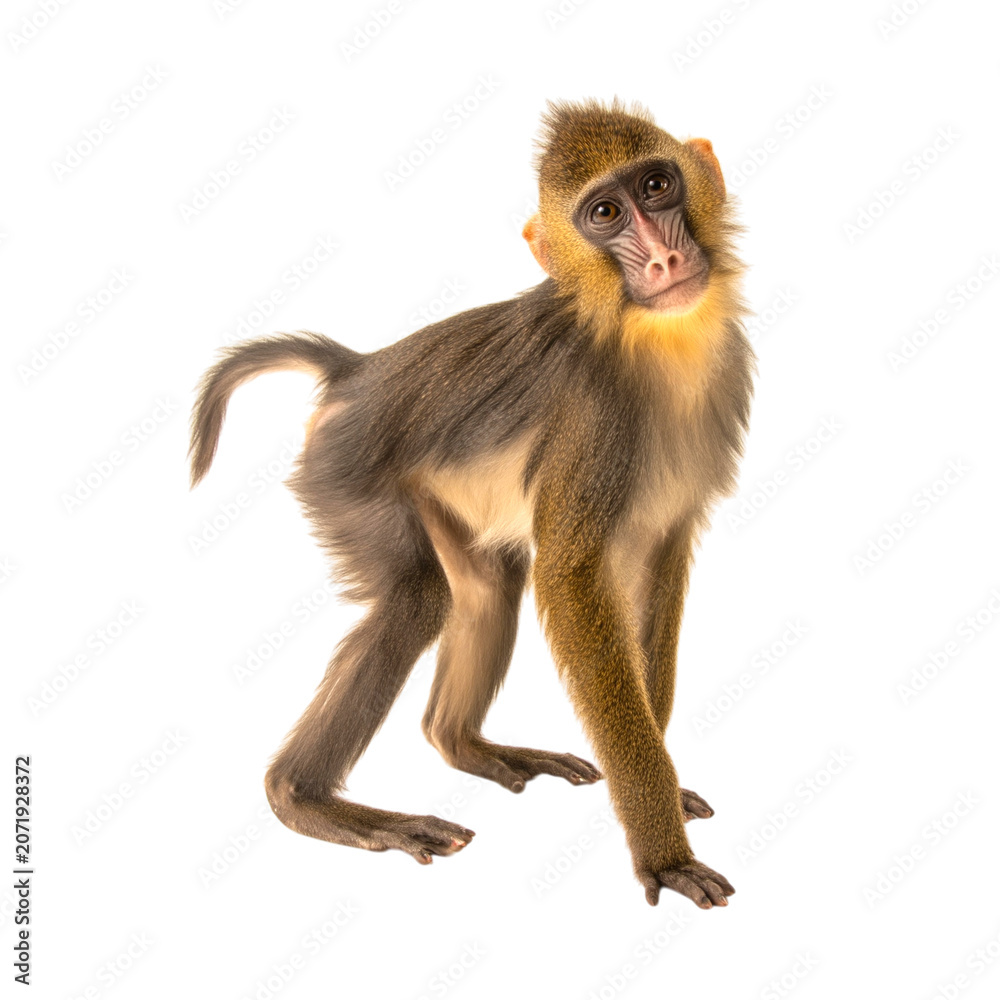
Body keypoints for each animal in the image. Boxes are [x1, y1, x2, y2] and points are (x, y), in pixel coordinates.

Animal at [189, 99, 754, 909]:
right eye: (606, 214)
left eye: (656, 185)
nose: (663, 260)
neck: (653, 338)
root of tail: (359, 371)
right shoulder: (594, 418)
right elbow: (572, 580)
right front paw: (663, 850)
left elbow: (658, 566)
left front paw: (662, 788)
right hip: (346, 476)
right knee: (420, 596)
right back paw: (310, 800)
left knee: (486, 586)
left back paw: (464, 745)